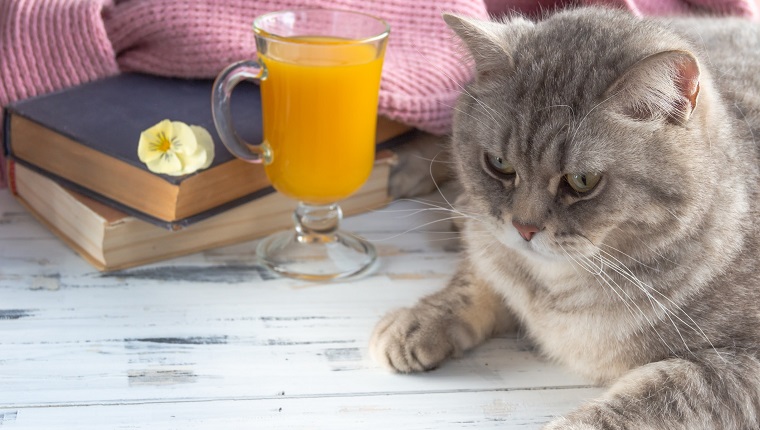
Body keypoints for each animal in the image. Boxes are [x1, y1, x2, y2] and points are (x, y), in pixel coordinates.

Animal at [372, 6, 760, 430]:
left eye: (582, 180)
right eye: (499, 164)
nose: (523, 228)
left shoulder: (737, 368)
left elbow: (656, 396)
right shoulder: (493, 245)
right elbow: (477, 277)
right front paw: (418, 321)